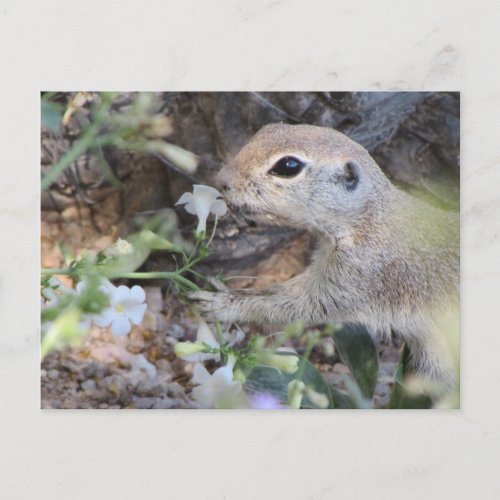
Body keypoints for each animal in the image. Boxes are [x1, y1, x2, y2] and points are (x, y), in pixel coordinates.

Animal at [190, 123, 460, 384]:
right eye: (266, 129)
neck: (369, 219)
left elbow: (298, 303)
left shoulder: (359, 277)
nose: (222, 179)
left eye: (288, 166)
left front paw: (223, 303)